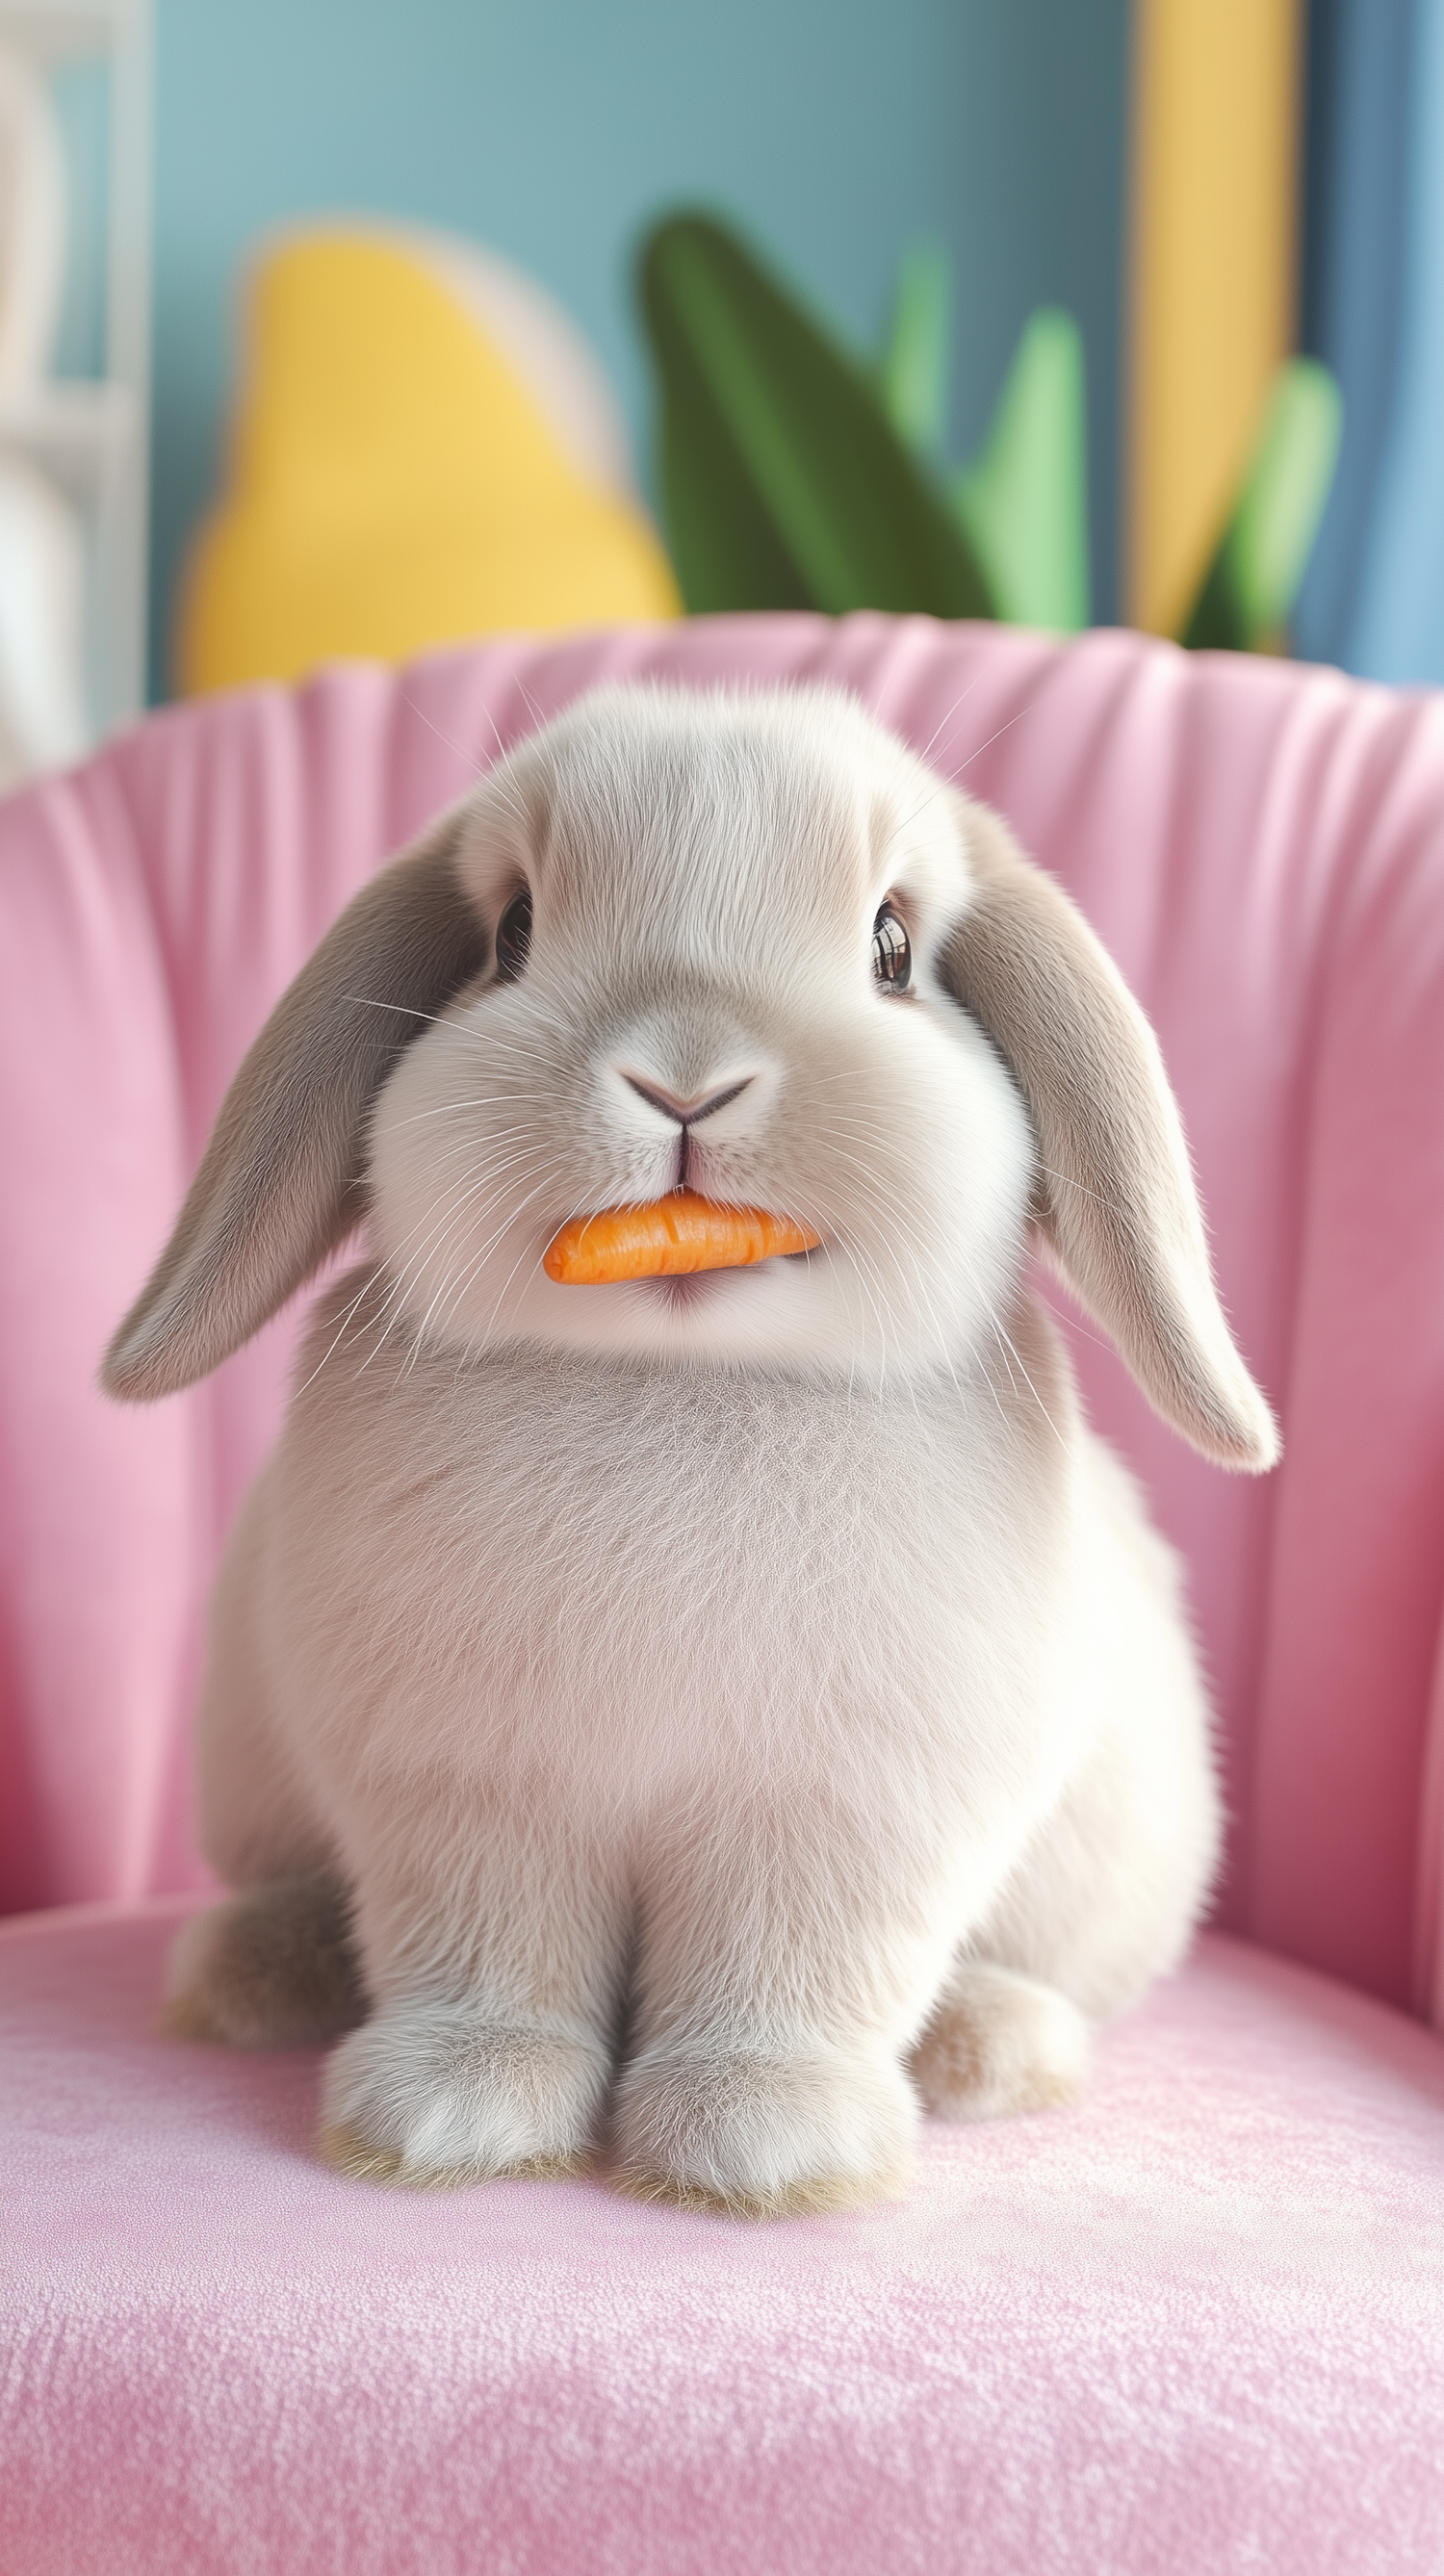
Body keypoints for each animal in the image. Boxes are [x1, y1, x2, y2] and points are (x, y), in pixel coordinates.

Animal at [101, 680, 1271, 2215]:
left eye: (894, 948)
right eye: (511, 933)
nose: (685, 1080)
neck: (680, 1372)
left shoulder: (838, 1819)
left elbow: (793, 1971)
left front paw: (764, 2146)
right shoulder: (472, 1798)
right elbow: (488, 1954)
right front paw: (450, 2122)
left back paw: (989, 2050)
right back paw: (254, 1978)